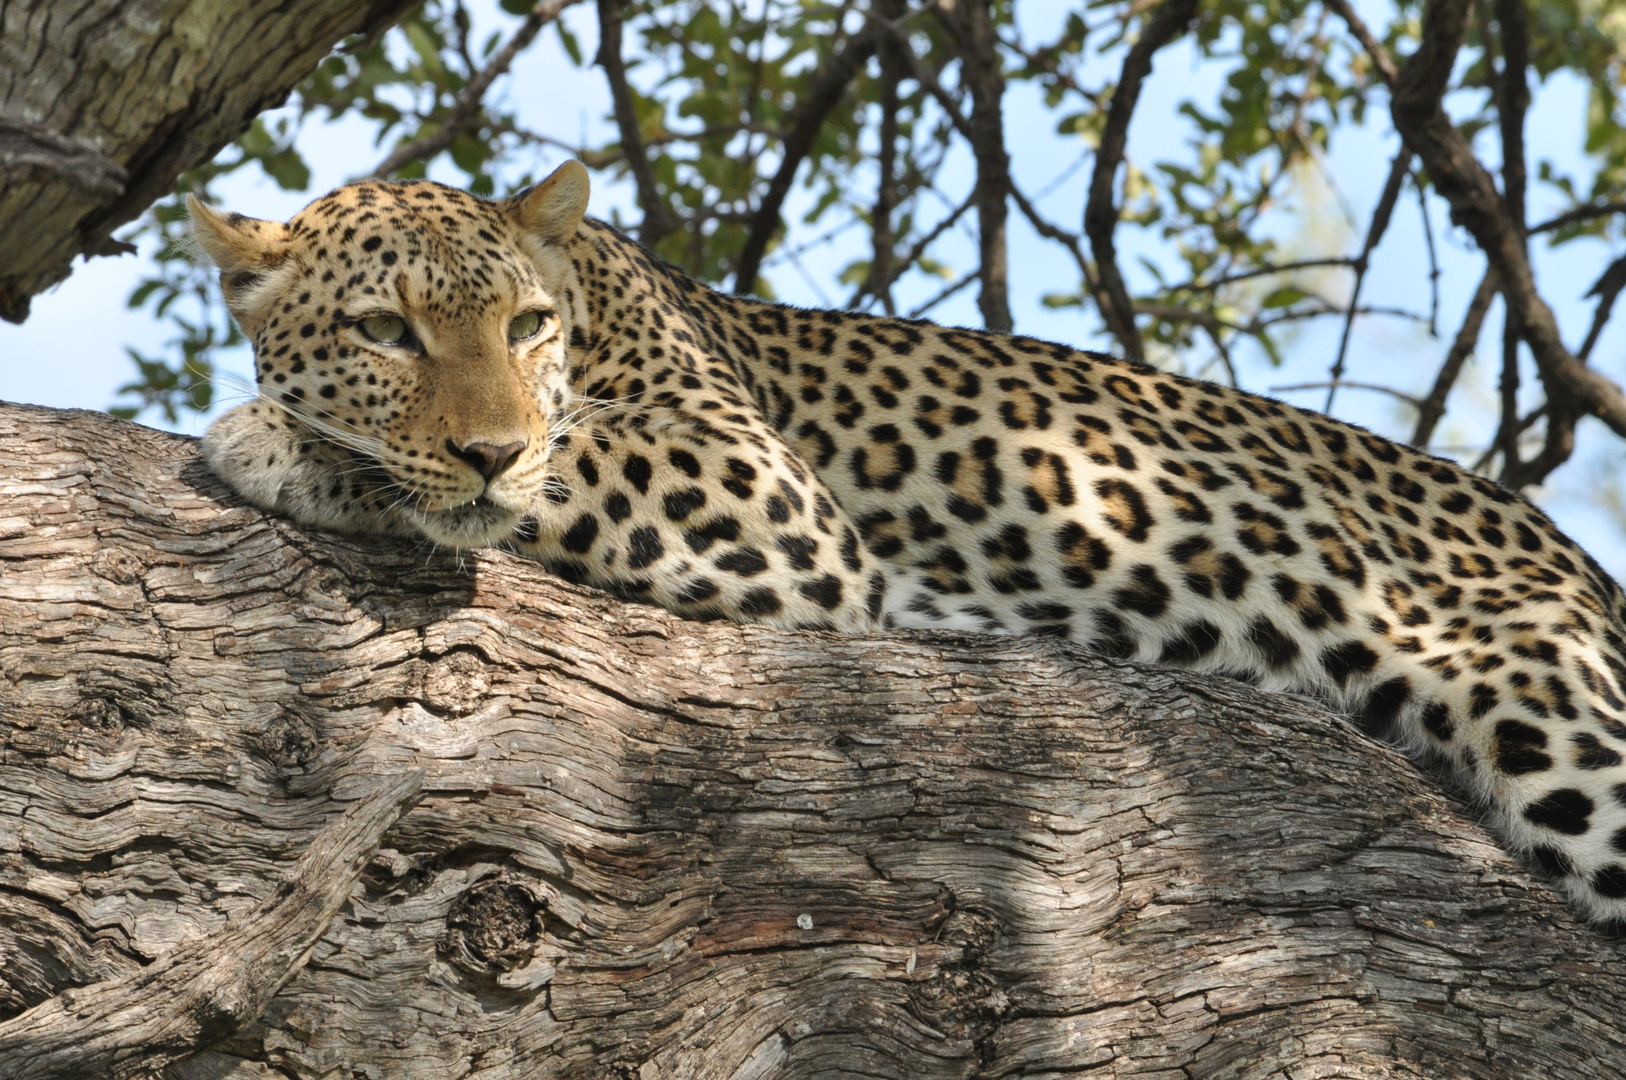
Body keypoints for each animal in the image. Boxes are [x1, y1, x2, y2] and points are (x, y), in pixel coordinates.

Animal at [193, 158, 1626, 917]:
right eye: (387, 332)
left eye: (525, 327)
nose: (489, 444)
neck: (595, 313)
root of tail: (1570, 555)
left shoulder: (756, 483)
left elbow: (574, 459)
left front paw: (276, 438)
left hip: (1559, 718)